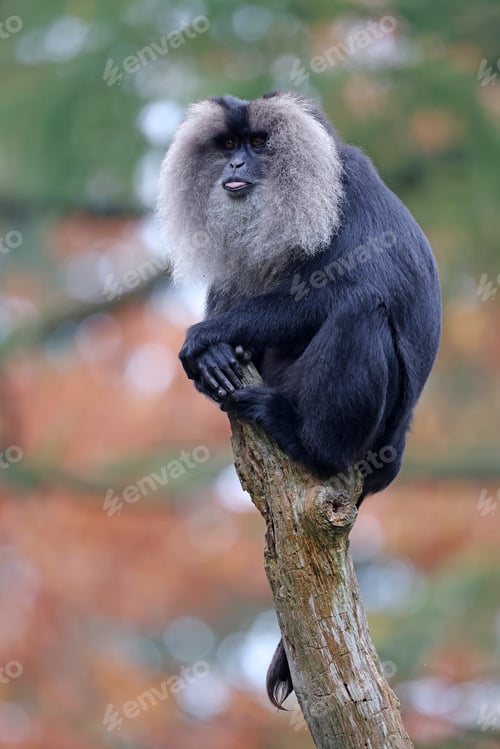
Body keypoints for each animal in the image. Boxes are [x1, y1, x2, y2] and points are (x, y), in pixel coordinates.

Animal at [157, 90, 441, 709]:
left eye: (259, 143)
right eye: (228, 144)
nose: (237, 164)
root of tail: (398, 446)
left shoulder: (352, 184)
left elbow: (366, 279)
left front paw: (207, 337)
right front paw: (216, 351)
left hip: (365, 430)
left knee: (361, 308)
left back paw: (302, 438)